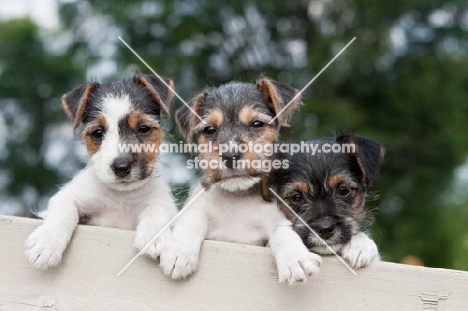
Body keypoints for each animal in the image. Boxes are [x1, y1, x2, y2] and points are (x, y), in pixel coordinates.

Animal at [26, 74, 178, 270]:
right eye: (97, 133)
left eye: (144, 128)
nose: (121, 166)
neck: (122, 197)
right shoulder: (68, 195)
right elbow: (64, 210)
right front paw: (46, 243)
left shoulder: (165, 203)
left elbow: (158, 208)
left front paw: (153, 235)